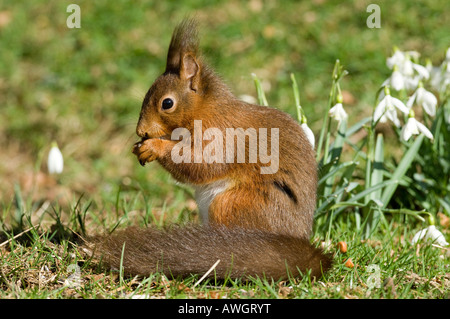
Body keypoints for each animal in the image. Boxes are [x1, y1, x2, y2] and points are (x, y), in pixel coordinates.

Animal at [92, 19, 330, 280]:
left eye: (167, 103)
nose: (141, 131)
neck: (205, 111)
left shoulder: (222, 136)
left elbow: (202, 164)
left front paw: (155, 146)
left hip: (231, 205)